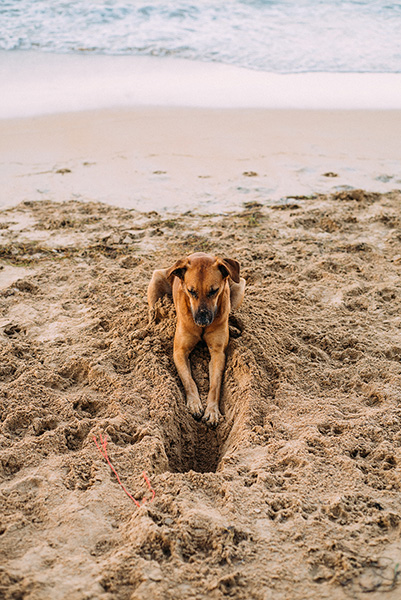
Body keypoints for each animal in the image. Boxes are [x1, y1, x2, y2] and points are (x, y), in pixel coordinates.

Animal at [148, 253, 244, 426]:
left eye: (214, 291)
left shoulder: (218, 353)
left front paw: (212, 411)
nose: (202, 320)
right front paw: (194, 403)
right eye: (191, 291)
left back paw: (232, 327)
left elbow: (215, 384)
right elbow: (188, 379)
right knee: (152, 313)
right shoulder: (179, 352)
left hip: (240, 285)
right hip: (156, 279)